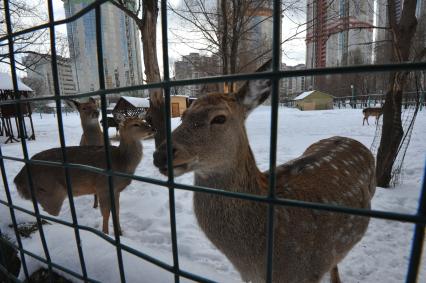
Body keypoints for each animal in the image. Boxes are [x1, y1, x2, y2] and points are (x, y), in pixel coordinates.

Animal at [14, 115, 156, 235]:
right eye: (135, 124)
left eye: (144, 121)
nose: (153, 128)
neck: (121, 162)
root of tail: (18, 178)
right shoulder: (103, 186)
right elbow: (106, 213)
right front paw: (106, 233)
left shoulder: (116, 190)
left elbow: (117, 212)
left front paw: (120, 233)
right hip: (52, 191)